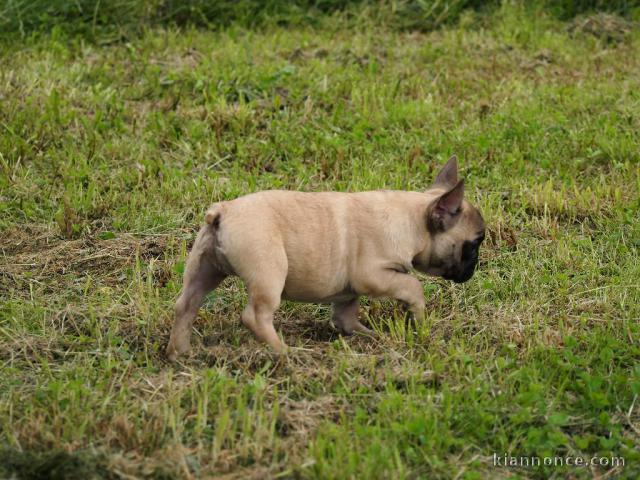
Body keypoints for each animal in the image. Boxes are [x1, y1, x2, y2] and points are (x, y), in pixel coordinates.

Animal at [166, 156, 484, 362]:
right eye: (474, 244)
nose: (473, 269)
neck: (412, 219)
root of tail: (223, 212)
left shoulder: (349, 294)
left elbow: (346, 318)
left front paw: (373, 337)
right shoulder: (373, 276)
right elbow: (412, 286)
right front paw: (418, 319)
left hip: (204, 268)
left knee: (186, 304)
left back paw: (179, 353)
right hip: (269, 273)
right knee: (255, 316)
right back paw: (284, 353)